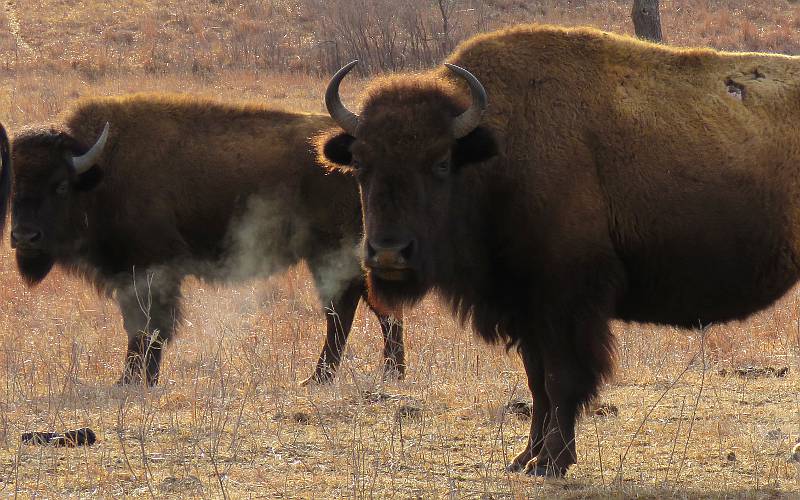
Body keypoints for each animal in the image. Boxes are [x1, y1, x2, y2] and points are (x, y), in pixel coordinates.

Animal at [6, 95, 406, 388]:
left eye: (60, 185)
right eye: (12, 187)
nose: (24, 237)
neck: (100, 173)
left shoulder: (152, 269)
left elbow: (150, 324)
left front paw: (136, 380)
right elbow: (139, 324)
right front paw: (135, 378)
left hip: (333, 252)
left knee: (348, 307)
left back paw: (331, 377)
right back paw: (380, 373)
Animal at [318, 24, 800, 476]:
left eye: (440, 162)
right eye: (360, 163)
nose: (389, 253)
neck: (499, 151)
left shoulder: (566, 304)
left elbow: (562, 380)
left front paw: (551, 462)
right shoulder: (526, 309)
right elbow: (537, 383)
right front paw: (524, 458)